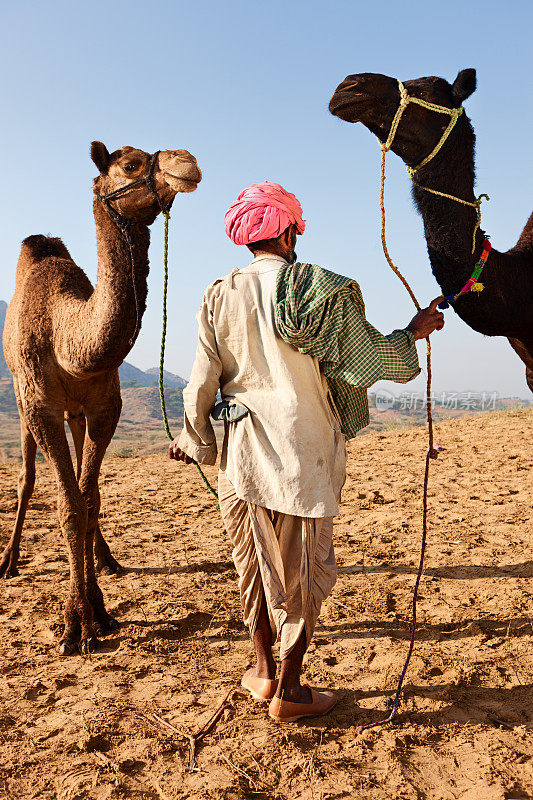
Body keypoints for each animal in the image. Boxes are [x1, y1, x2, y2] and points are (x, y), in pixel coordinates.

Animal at [1, 144, 202, 652]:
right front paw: (77, 625)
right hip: (21, 402)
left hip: (76, 414)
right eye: (130, 164)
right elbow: (68, 505)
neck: (67, 335)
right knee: (28, 478)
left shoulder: (105, 407)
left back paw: (106, 559)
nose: (187, 161)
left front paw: (99, 608)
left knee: (81, 480)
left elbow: (88, 499)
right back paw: (8, 561)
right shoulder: (40, 405)